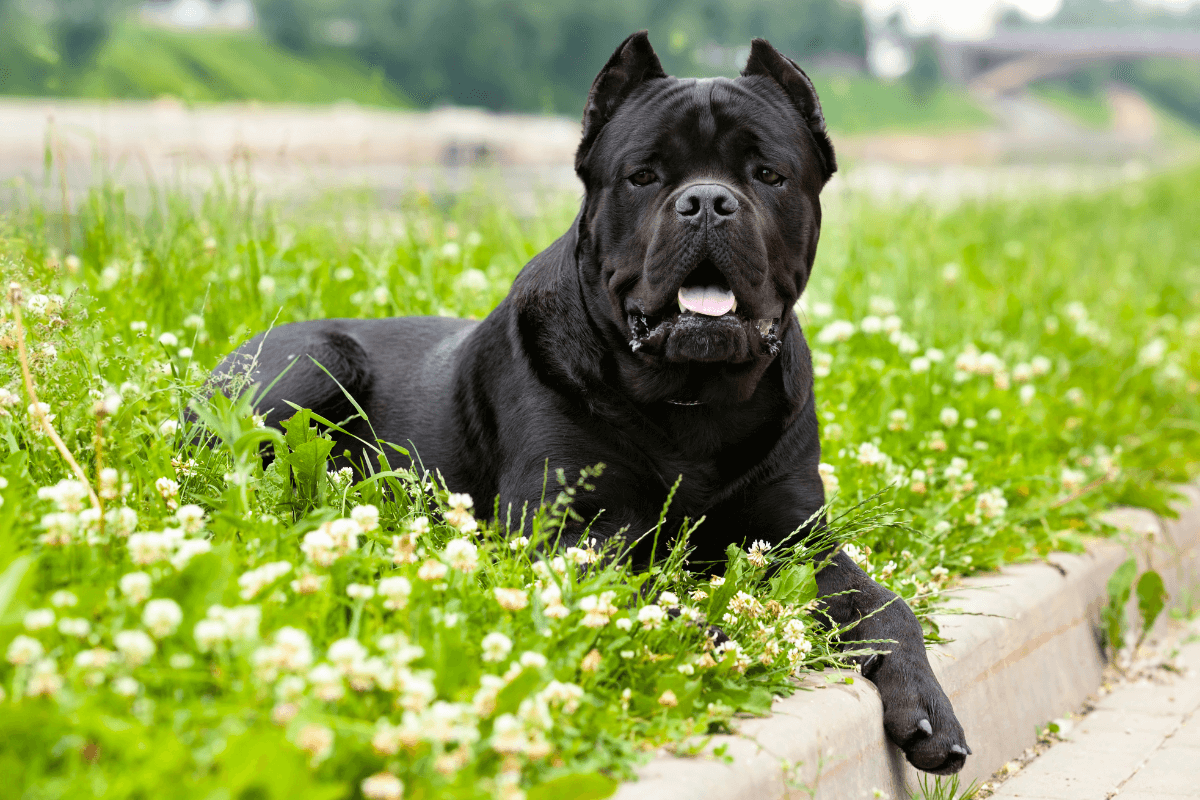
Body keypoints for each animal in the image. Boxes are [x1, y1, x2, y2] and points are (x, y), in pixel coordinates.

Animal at [211, 32, 969, 777]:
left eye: (767, 174)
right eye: (644, 176)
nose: (707, 201)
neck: (692, 398)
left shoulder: (795, 536)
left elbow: (885, 604)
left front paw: (930, 707)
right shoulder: (566, 529)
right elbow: (638, 592)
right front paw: (710, 635)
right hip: (315, 363)